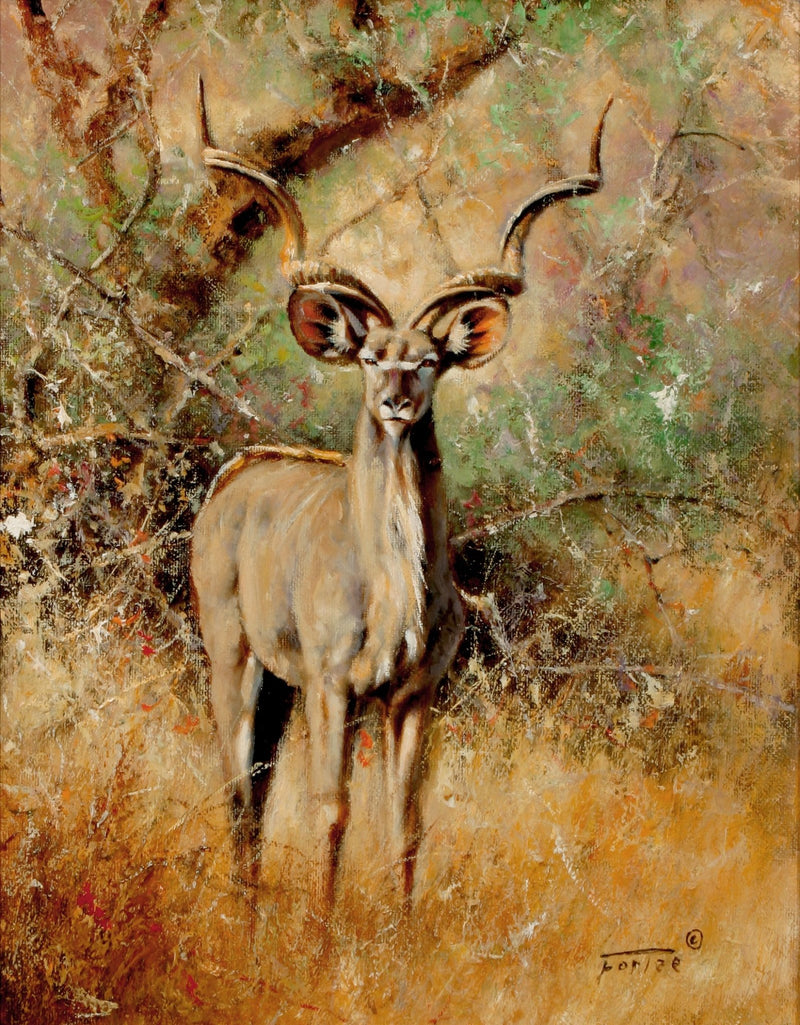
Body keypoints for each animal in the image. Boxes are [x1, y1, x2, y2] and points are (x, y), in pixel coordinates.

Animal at [191, 89, 612, 918]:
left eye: (428, 361)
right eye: (368, 355)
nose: (395, 401)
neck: (395, 590)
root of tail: (230, 479)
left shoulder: (413, 695)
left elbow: (406, 822)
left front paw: (402, 936)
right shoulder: (333, 684)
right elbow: (332, 810)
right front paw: (322, 940)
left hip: (279, 685)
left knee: (258, 786)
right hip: (234, 655)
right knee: (238, 789)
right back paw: (245, 916)